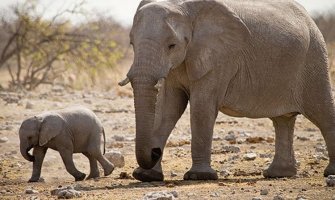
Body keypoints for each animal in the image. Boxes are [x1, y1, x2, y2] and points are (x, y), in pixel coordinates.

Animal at [120, 0, 335, 181]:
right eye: (131, 44)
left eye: (172, 45)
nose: (155, 151)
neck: (185, 10)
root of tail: (309, 18)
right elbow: (168, 108)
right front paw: (146, 176)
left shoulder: (219, 58)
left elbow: (201, 107)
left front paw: (199, 176)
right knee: (283, 120)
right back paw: (278, 174)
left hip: (314, 59)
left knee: (322, 113)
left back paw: (328, 173)